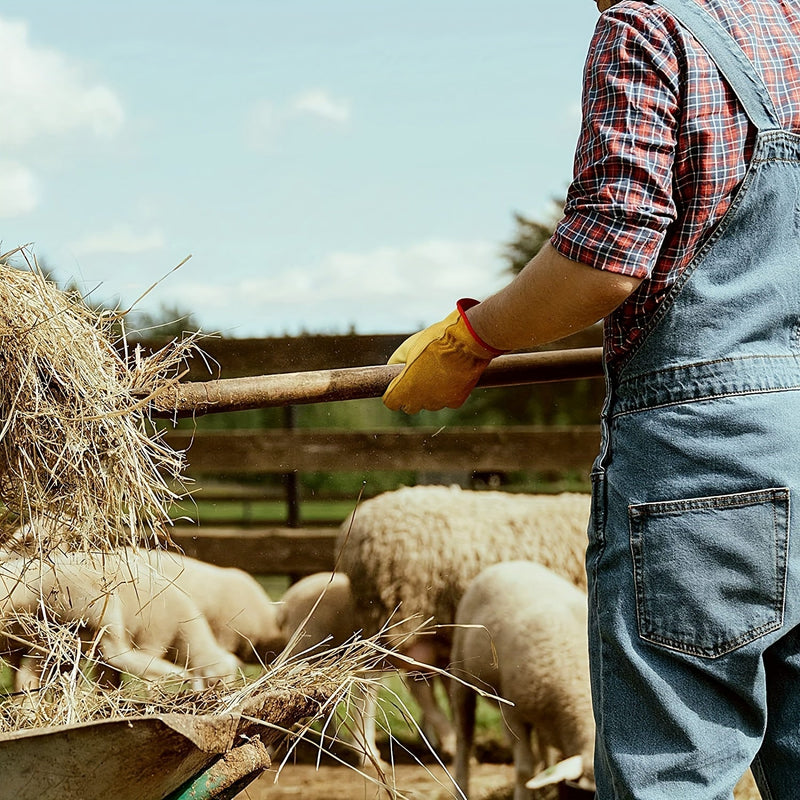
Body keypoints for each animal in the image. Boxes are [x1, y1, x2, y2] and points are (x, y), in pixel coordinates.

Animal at [0, 548, 244, 692]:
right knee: (117, 652)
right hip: (98, 607)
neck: (184, 634)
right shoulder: (155, 635)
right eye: (217, 681)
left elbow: (107, 676)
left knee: (29, 673)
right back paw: (172, 673)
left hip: (53, 634)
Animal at [334, 482, 592, 756]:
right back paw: (369, 750)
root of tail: (356, 522)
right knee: (368, 682)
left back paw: (441, 738)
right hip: (387, 618)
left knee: (418, 682)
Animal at [450, 564, 592, 800]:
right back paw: (461, 787)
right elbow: (524, 768)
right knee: (464, 736)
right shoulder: (513, 714)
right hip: (461, 674)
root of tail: (509, 563)